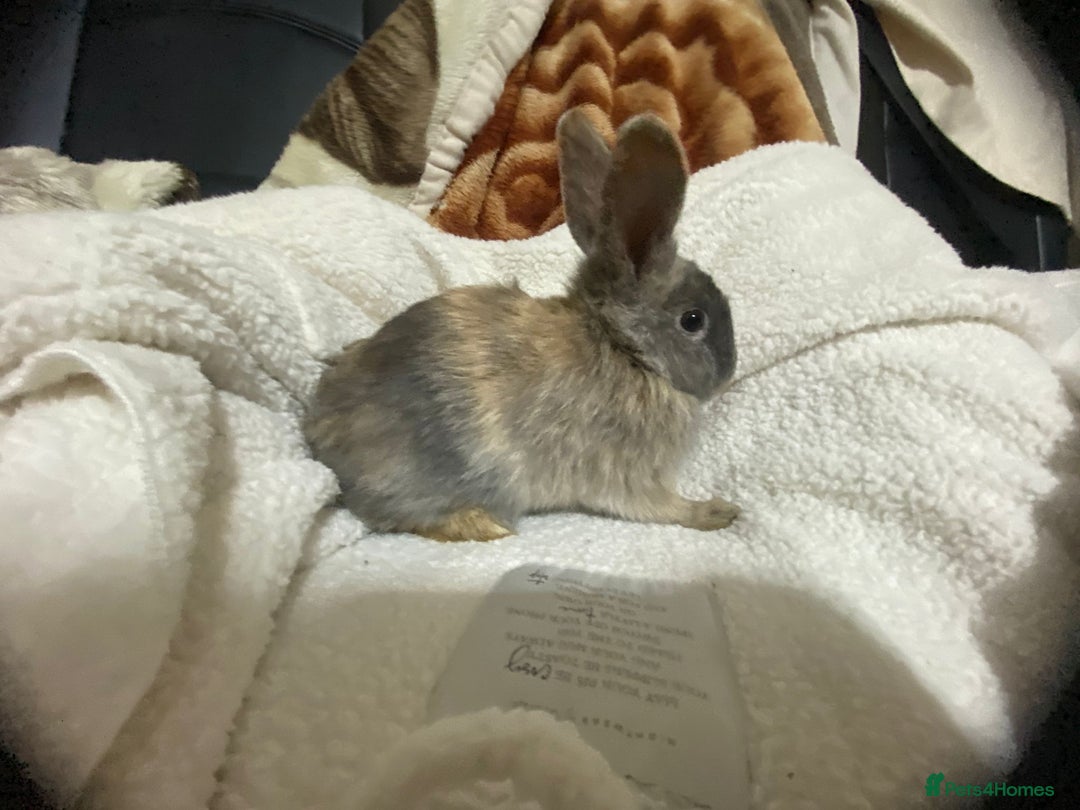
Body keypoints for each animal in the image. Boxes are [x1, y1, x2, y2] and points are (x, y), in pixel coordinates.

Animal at [303, 108, 738, 542]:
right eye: (693, 320)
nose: (729, 372)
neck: (623, 347)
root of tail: (321, 444)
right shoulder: (626, 471)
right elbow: (659, 506)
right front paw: (717, 512)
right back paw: (487, 526)